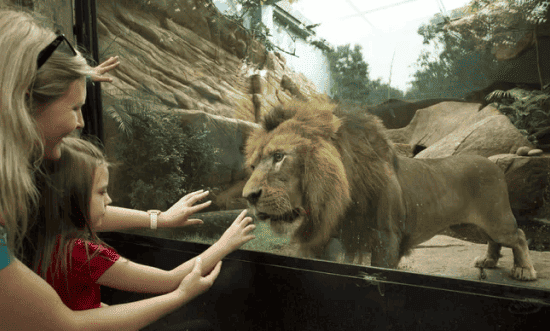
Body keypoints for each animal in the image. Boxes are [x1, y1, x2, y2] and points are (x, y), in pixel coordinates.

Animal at [243, 100, 540, 282]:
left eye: (279, 156)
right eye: (253, 165)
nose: (248, 197)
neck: (341, 201)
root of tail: (492, 163)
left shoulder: (386, 238)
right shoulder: (327, 240)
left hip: (496, 217)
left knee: (518, 235)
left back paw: (524, 270)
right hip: (481, 222)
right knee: (495, 239)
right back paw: (488, 261)